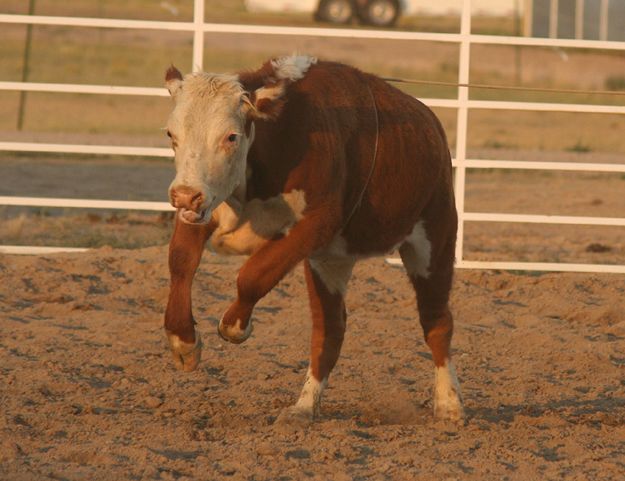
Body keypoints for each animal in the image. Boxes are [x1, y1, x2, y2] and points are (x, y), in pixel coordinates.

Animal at [161, 56, 464, 422]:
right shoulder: (206, 203)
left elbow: (252, 276)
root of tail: (431, 127)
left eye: (231, 136)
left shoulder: (315, 224)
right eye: (171, 133)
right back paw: (305, 406)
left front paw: (235, 327)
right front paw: (184, 344)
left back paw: (449, 404)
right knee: (330, 329)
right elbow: (181, 261)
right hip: (331, 260)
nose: (183, 196)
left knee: (436, 320)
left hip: (434, 239)